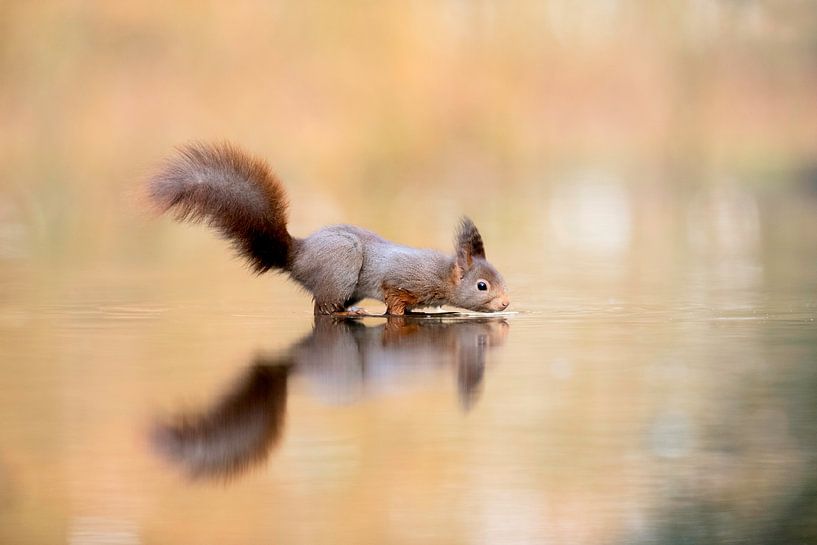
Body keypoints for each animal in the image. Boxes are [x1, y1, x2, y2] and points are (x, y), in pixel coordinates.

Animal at [147, 142, 510, 315]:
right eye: (481, 286)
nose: (506, 304)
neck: (441, 275)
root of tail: (297, 256)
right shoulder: (399, 282)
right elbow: (394, 304)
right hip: (341, 269)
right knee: (323, 310)